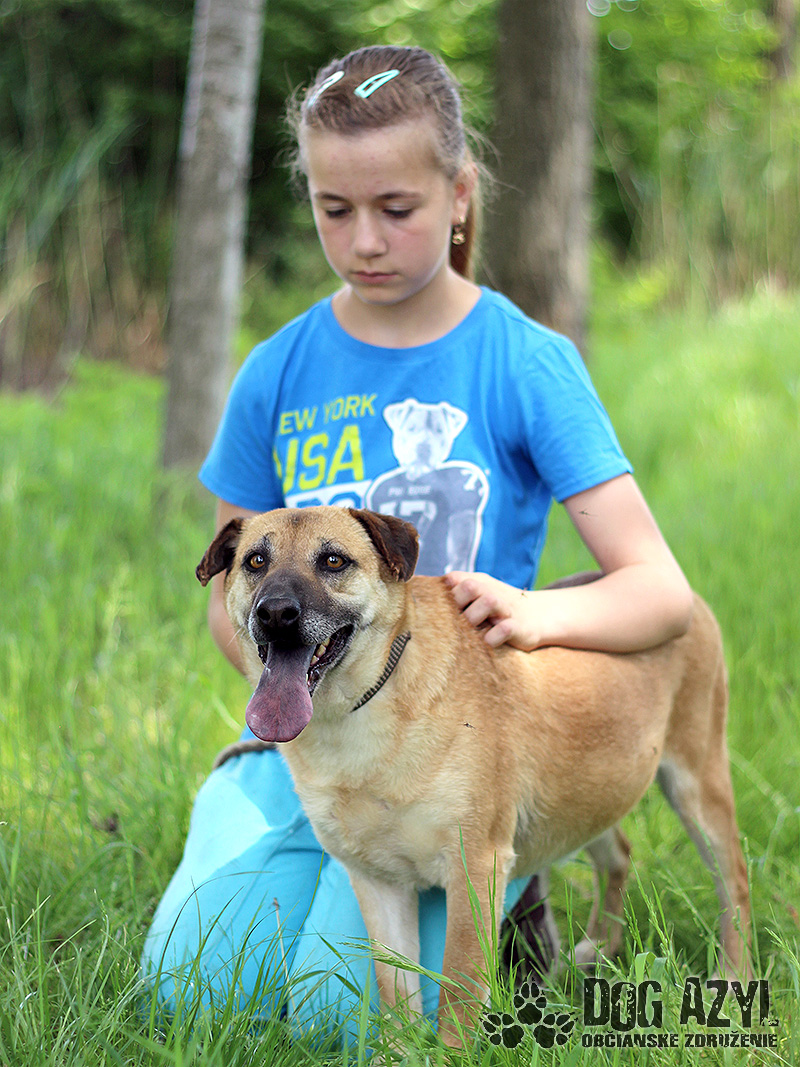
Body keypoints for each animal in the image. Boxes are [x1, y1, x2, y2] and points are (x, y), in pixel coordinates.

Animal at [197, 505, 750, 1042]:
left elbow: (458, 995)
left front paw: (449, 1053)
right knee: (618, 854)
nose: (274, 613)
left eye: (333, 561)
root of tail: (691, 600)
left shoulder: (475, 867)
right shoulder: (378, 883)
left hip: (697, 787)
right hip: (590, 792)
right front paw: (401, 1054)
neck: (361, 711)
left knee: (735, 884)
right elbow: (397, 999)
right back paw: (597, 948)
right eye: (255, 562)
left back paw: (732, 979)